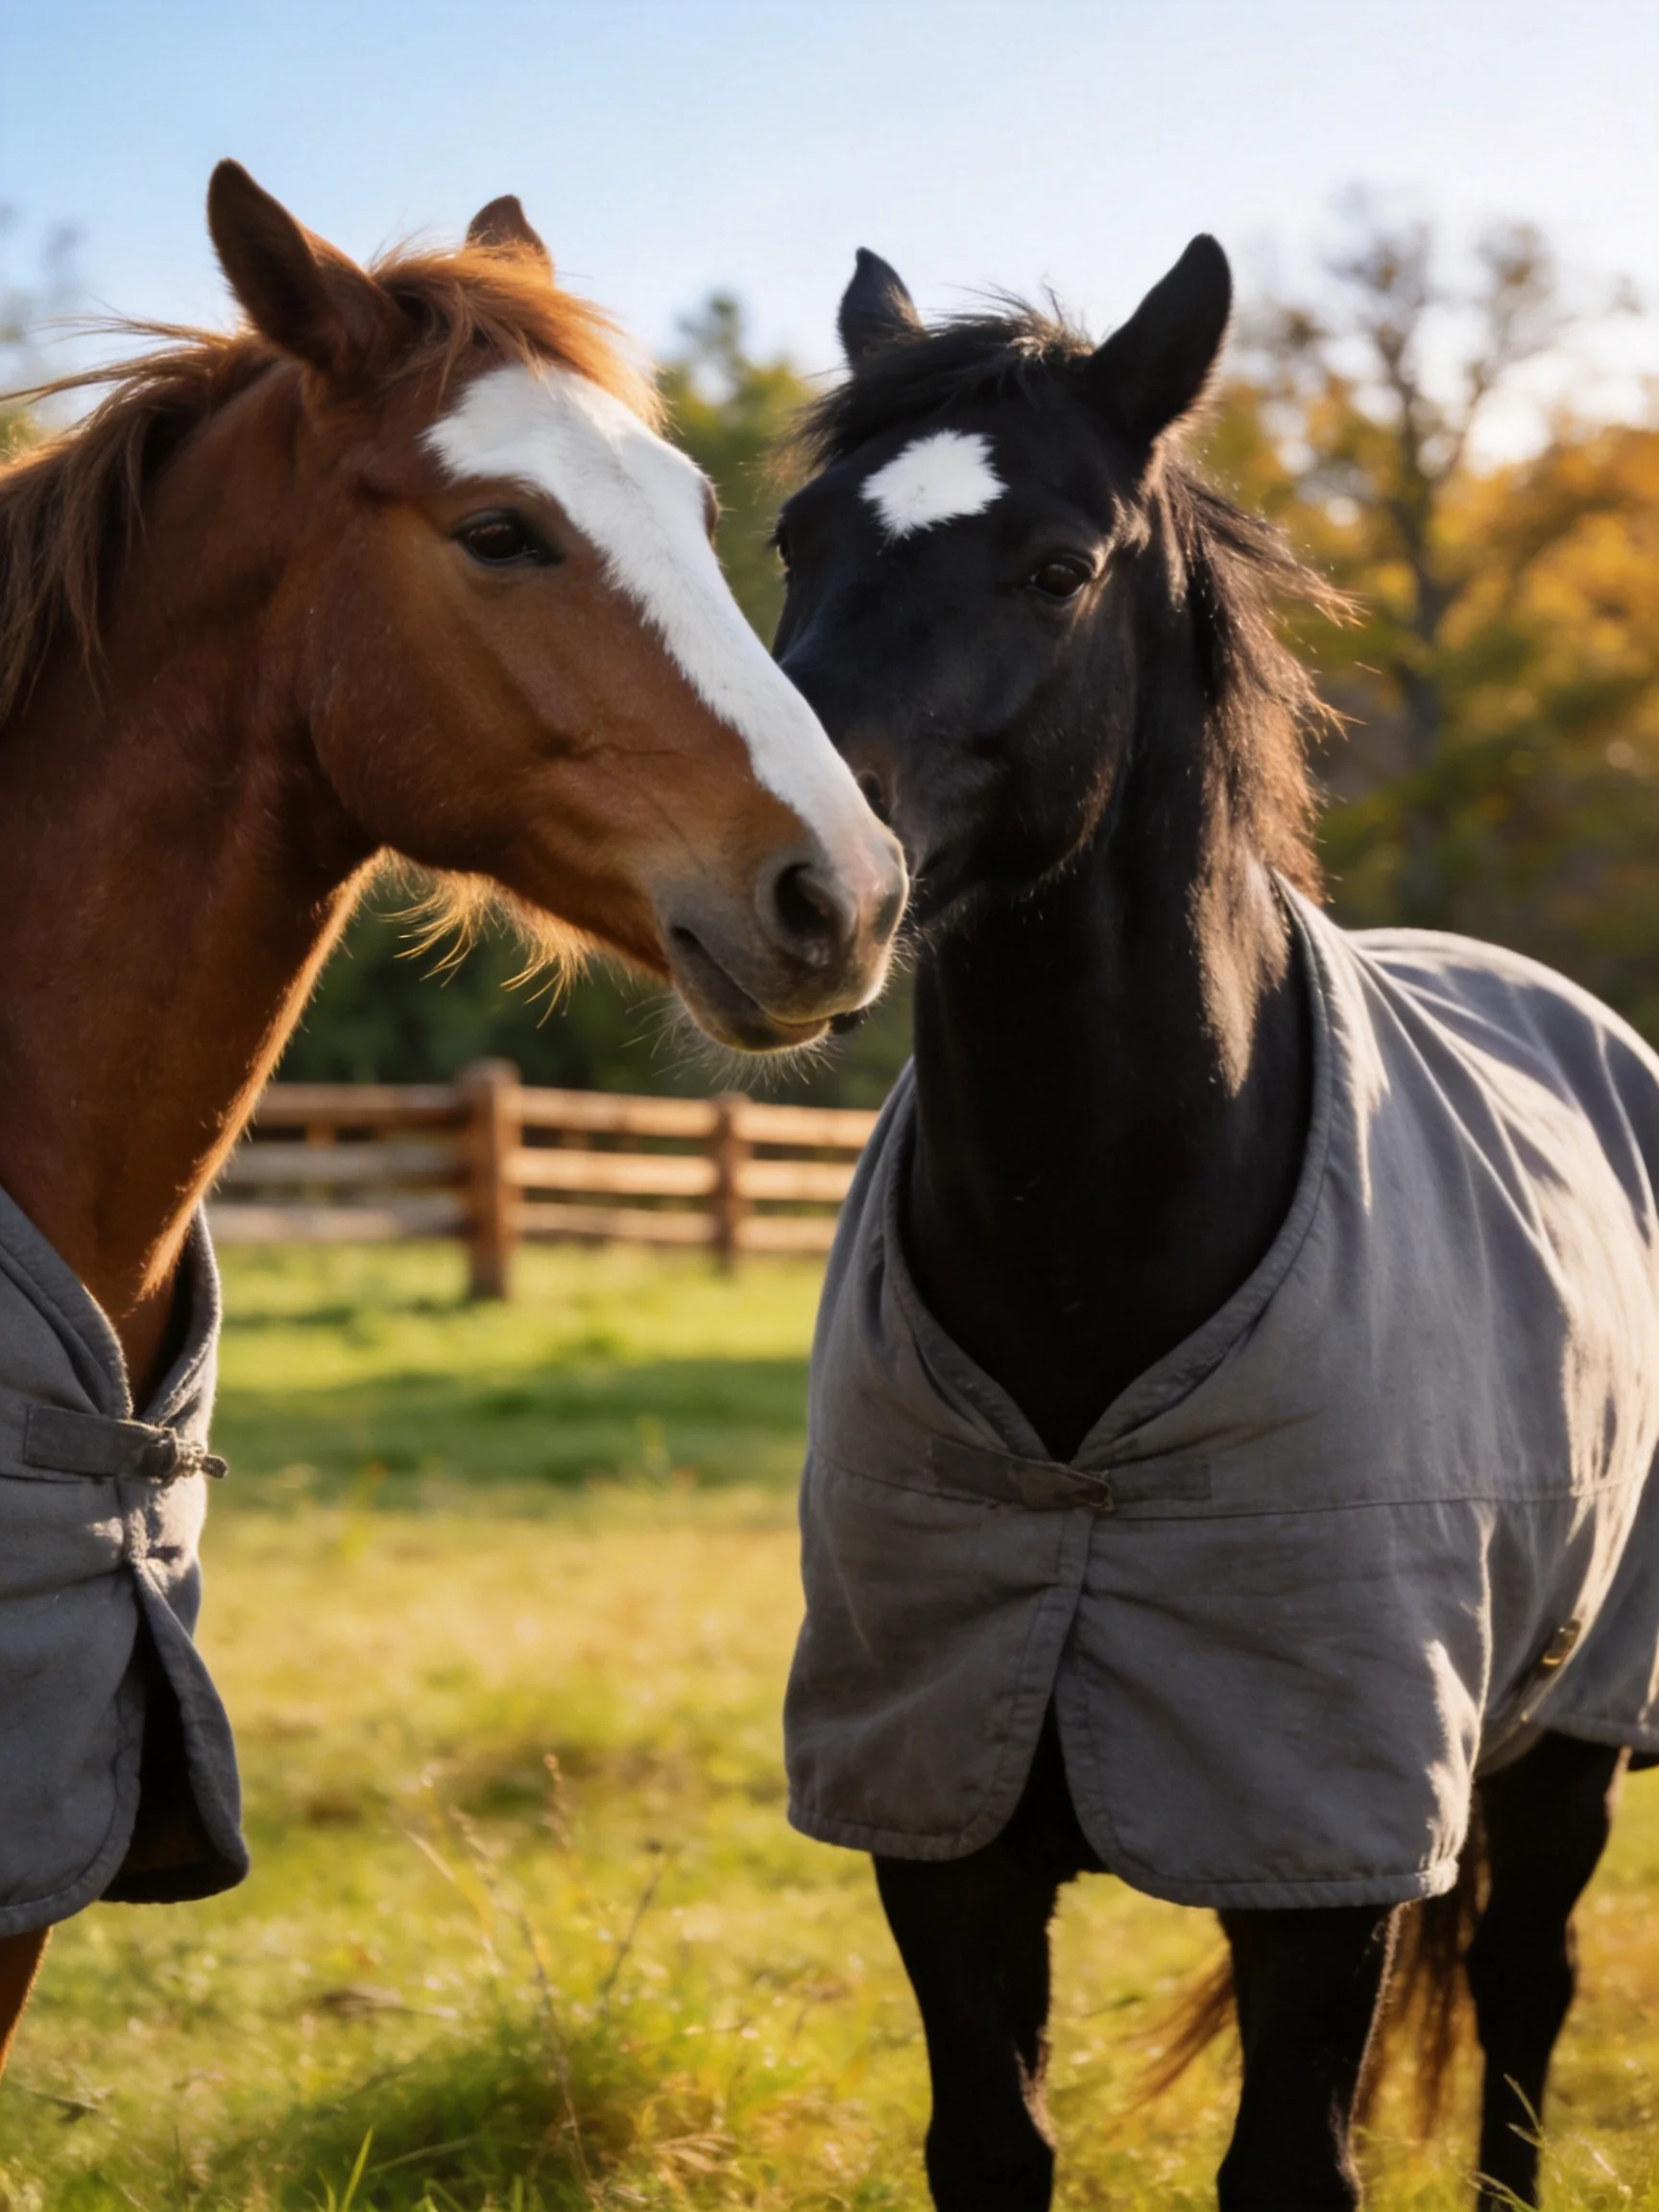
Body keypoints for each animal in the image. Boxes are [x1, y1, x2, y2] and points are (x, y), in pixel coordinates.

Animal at [770, 237, 1658, 2210]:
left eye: (1054, 565)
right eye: (794, 540)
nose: (784, 879)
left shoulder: (1320, 1845)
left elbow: (1294, 2160)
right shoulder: (938, 1815)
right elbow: (991, 2141)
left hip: (1568, 1723)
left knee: (1526, 1982)